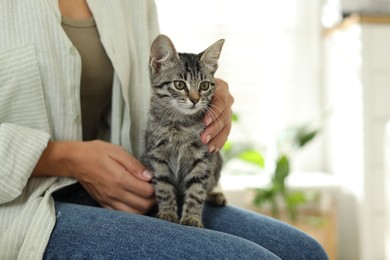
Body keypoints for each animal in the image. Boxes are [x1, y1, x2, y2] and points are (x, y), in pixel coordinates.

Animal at [143, 35, 227, 228]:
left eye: (204, 85)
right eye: (180, 84)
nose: (195, 100)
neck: (180, 124)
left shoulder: (203, 157)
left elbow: (197, 189)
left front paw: (192, 218)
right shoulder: (157, 155)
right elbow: (163, 186)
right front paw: (167, 213)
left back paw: (216, 195)